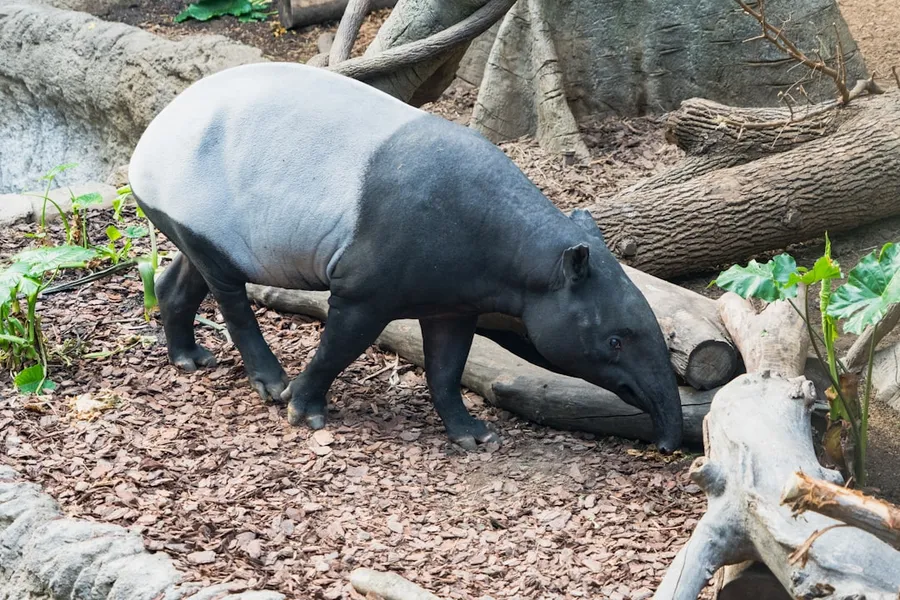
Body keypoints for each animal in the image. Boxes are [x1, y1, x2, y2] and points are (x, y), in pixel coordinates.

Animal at [128, 62, 683, 452]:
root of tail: (148, 139)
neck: (516, 251)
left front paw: (472, 434)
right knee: (230, 297)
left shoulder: (454, 300)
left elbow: (447, 369)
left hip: (198, 226)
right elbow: (338, 348)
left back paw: (189, 358)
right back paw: (272, 383)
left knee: (185, 276)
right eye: (614, 341)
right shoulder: (366, 289)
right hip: (203, 207)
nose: (667, 440)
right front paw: (304, 411)